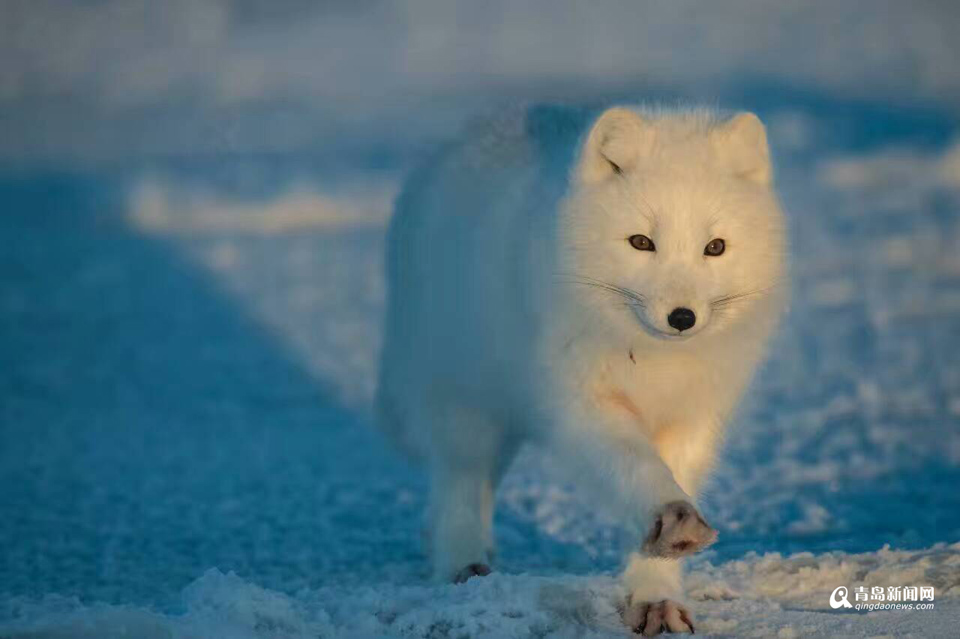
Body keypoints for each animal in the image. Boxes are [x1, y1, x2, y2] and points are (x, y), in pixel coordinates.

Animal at [372, 105, 784, 636]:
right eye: (641, 241)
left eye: (715, 247)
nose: (682, 318)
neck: (652, 363)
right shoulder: (578, 403)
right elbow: (636, 465)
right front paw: (671, 516)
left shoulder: (692, 417)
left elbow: (673, 482)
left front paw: (656, 596)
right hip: (463, 403)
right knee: (459, 483)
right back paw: (464, 564)